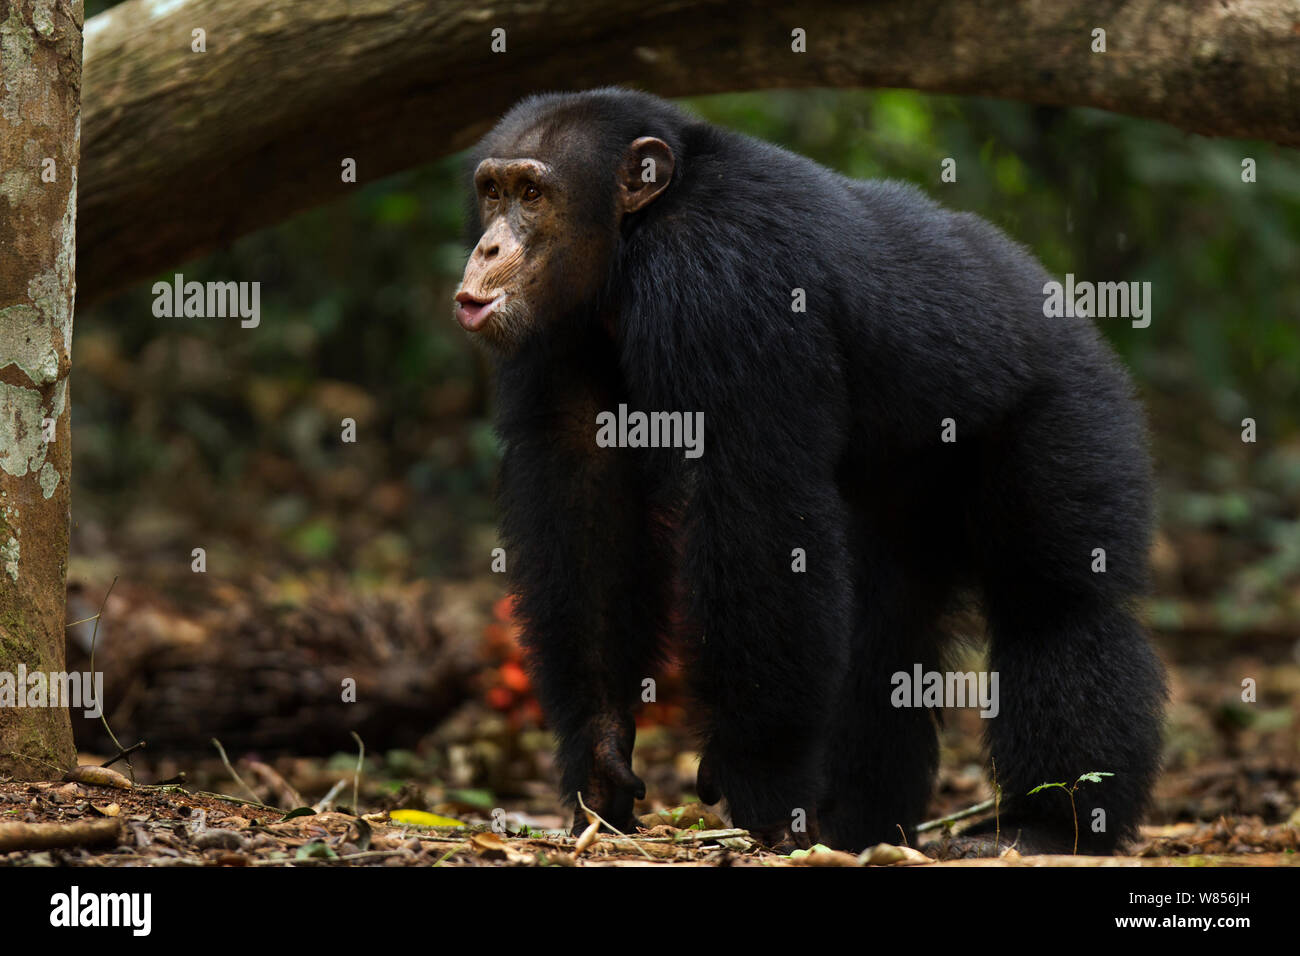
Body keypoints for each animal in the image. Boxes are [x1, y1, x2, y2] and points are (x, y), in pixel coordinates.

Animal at [452, 87, 1164, 853]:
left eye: (533, 194)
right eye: (492, 192)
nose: (489, 246)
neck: (634, 240)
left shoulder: (728, 284)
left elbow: (756, 502)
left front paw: (754, 775)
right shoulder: (562, 340)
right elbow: (586, 497)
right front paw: (602, 752)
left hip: (1071, 409)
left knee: (1056, 605)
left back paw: (1050, 824)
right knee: (886, 635)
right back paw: (862, 826)